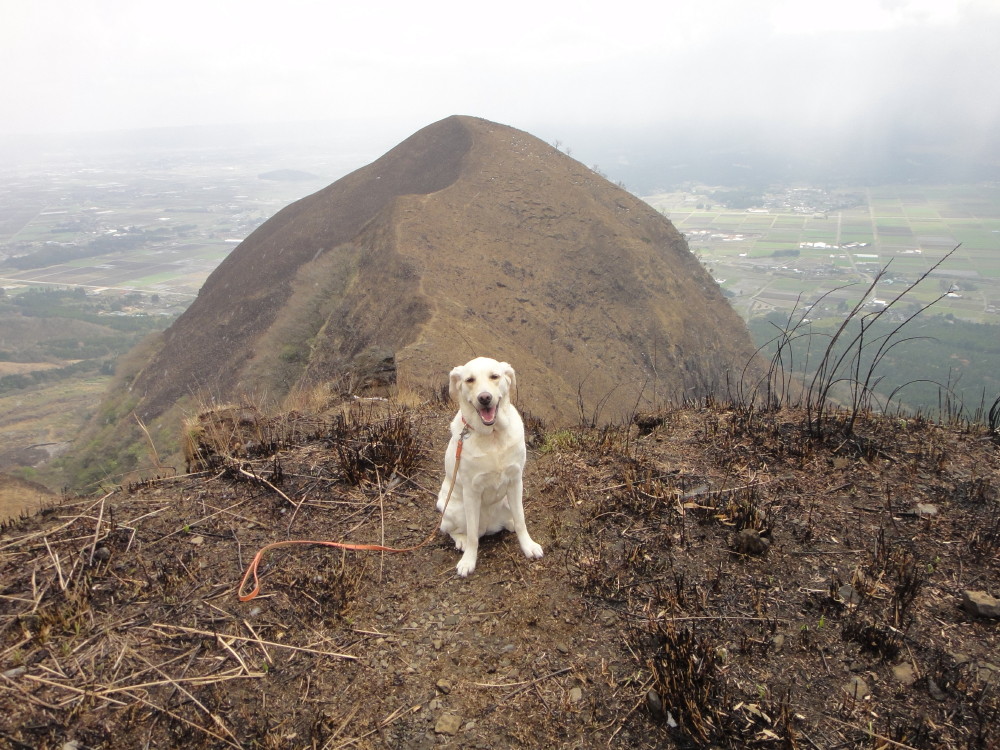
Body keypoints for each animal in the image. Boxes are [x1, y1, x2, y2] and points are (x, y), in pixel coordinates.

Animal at [440, 356, 548, 576]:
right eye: (470, 380)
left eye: (494, 376)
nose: (484, 398)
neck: (493, 436)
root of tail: (489, 527)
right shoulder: (471, 491)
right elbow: (473, 535)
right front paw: (469, 560)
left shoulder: (515, 481)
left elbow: (522, 520)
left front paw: (528, 546)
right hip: (452, 507)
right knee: (454, 530)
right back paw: (461, 541)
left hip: (506, 501)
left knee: (512, 518)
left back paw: (509, 523)